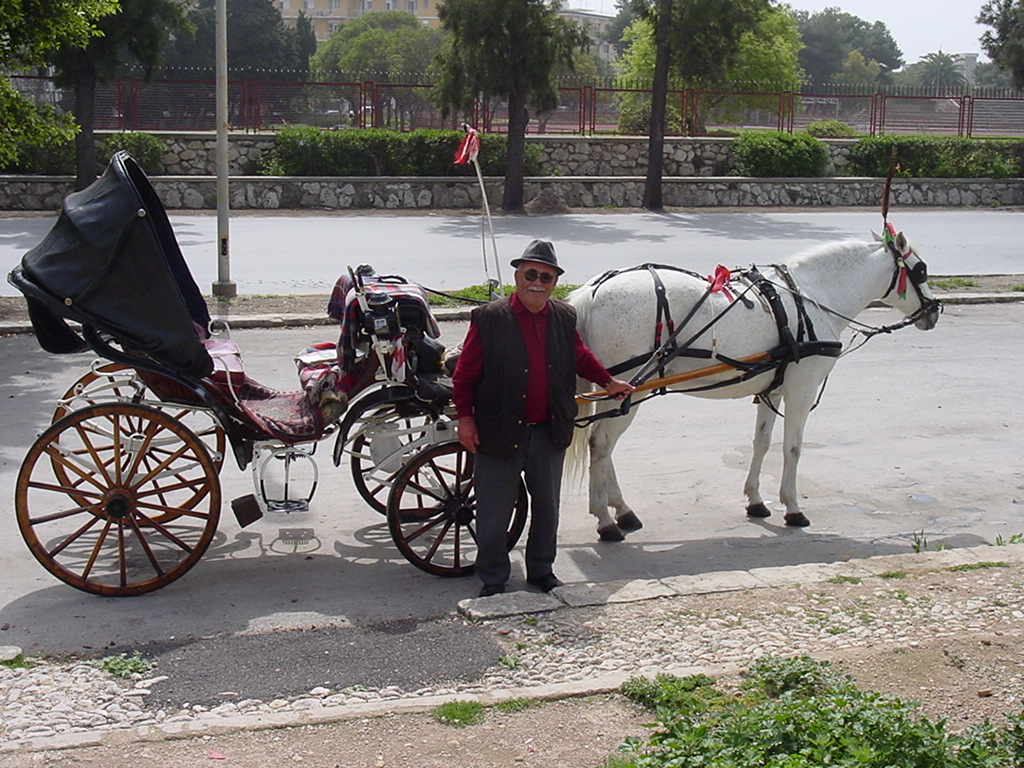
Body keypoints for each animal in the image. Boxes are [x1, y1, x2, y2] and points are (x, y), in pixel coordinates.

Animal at [567, 228, 942, 542]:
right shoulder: (801, 391)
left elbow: (761, 443)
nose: (935, 311)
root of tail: (592, 291)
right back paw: (606, 520)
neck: (809, 298)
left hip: (618, 392)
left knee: (601, 445)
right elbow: (792, 448)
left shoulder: (771, 390)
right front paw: (793, 508)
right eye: (921, 270)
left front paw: (756, 500)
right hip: (630, 387)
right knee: (602, 443)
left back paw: (622, 510)